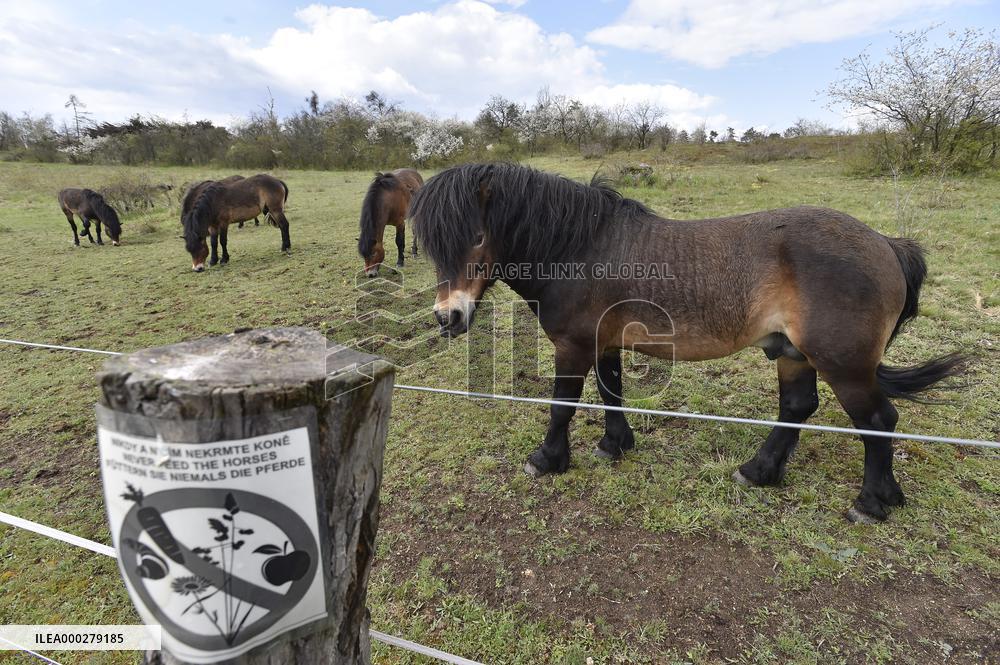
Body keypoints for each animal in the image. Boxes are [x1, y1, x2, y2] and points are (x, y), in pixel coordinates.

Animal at [409, 163, 967, 524]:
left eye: (477, 237)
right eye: (430, 244)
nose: (447, 317)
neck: (579, 248)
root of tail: (887, 244)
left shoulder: (573, 346)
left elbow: (563, 405)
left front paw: (548, 459)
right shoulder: (605, 344)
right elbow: (611, 394)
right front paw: (614, 445)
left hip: (843, 364)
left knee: (877, 421)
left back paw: (871, 503)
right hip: (792, 353)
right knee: (798, 407)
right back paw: (760, 472)